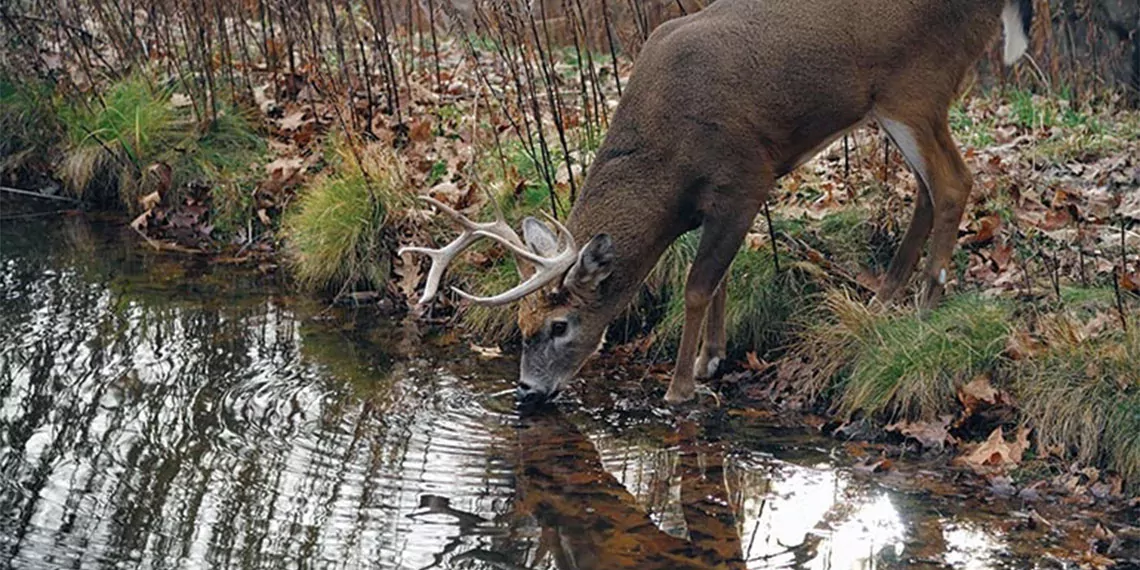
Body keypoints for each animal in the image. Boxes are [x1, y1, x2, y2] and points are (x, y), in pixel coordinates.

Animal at [405, 0, 1039, 405]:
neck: (667, 156)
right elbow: (722, 277)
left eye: (560, 325)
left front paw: (680, 386)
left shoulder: (746, 176)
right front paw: (712, 359)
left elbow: (696, 286)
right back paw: (882, 301)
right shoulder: (716, 203)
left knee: (954, 183)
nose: (527, 393)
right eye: (520, 323)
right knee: (926, 192)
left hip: (917, 87)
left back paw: (925, 308)